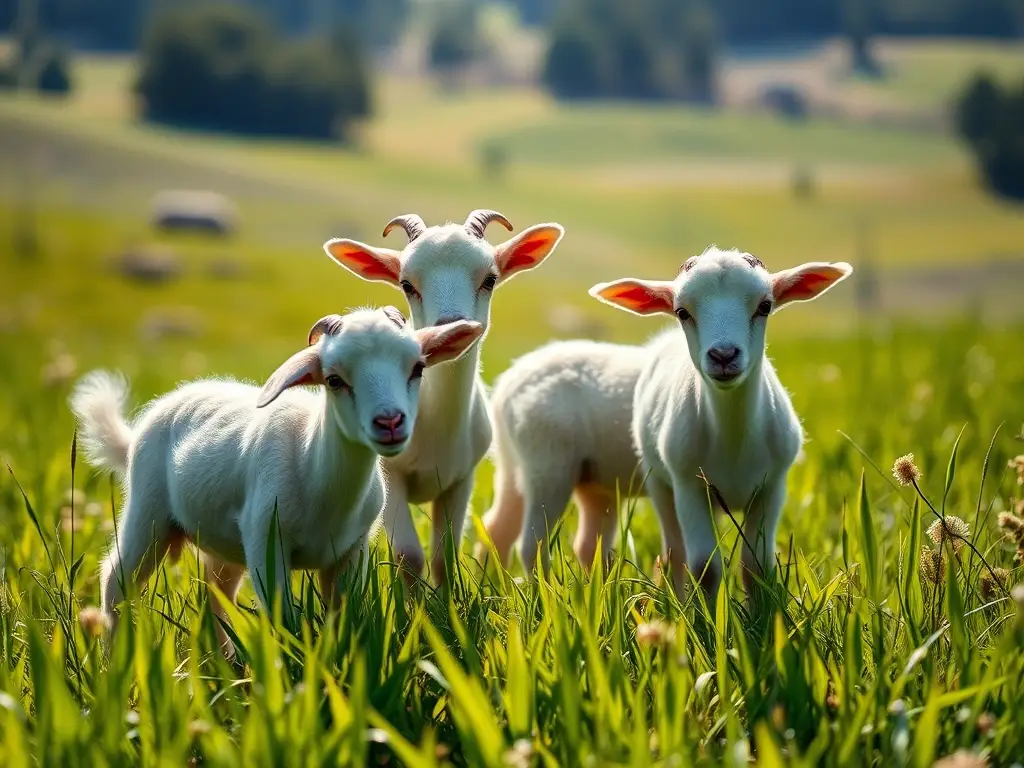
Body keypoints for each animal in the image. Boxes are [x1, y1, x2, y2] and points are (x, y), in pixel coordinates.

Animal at [69, 307, 483, 652]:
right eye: (334, 380)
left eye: (417, 368)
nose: (390, 422)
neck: (313, 464)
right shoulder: (266, 542)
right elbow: (283, 622)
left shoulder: (352, 550)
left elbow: (343, 620)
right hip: (147, 509)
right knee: (115, 579)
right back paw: (114, 659)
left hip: (223, 542)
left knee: (216, 591)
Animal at [323, 211, 564, 583]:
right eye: (407, 285)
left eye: (490, 279)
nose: (453, 325)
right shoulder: (391, 475)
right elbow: (408, 555)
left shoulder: (461, 478)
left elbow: (443, 557)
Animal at [589, 247, 852, 600]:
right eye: (682, 312)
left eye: (765, 306)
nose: (724, 355)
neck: (733, 439)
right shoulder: (688, 486)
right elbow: (704, 567)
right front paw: (708, 614)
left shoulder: (772, 486)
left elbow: (756, 567)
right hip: (659, 482)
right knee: (674, 553)